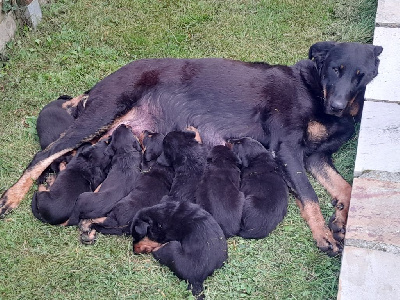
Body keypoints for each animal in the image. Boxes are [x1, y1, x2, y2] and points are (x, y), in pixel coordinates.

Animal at [0, 40, 382, 255]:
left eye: (360, 75)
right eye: (335, 69)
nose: (336, 105)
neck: (314, 88)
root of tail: (99, 83)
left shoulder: (315, 156)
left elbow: (346, 188)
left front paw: (343, 218)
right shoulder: (288, 149)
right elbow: (311, 196)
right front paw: (324, 235)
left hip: (110, 131)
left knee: (67, 158)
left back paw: (63, 195)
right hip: (103, 114)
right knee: (45, 153)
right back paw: (14, 196)